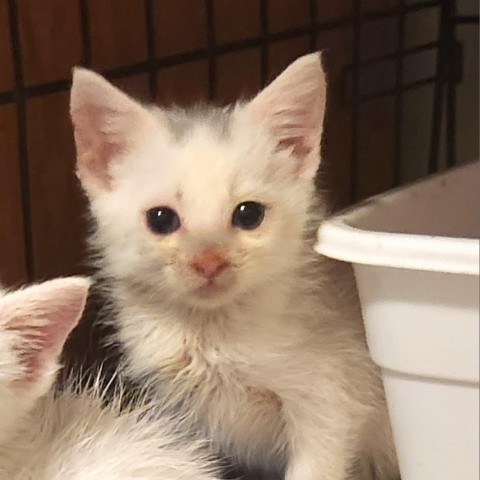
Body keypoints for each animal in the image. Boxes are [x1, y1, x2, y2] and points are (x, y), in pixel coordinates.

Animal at [71, 53, 400, 480]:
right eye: (161, 219)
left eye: (249, 214)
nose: (209, 262)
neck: (212, 333)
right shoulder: (184, 414)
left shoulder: (330, 399)